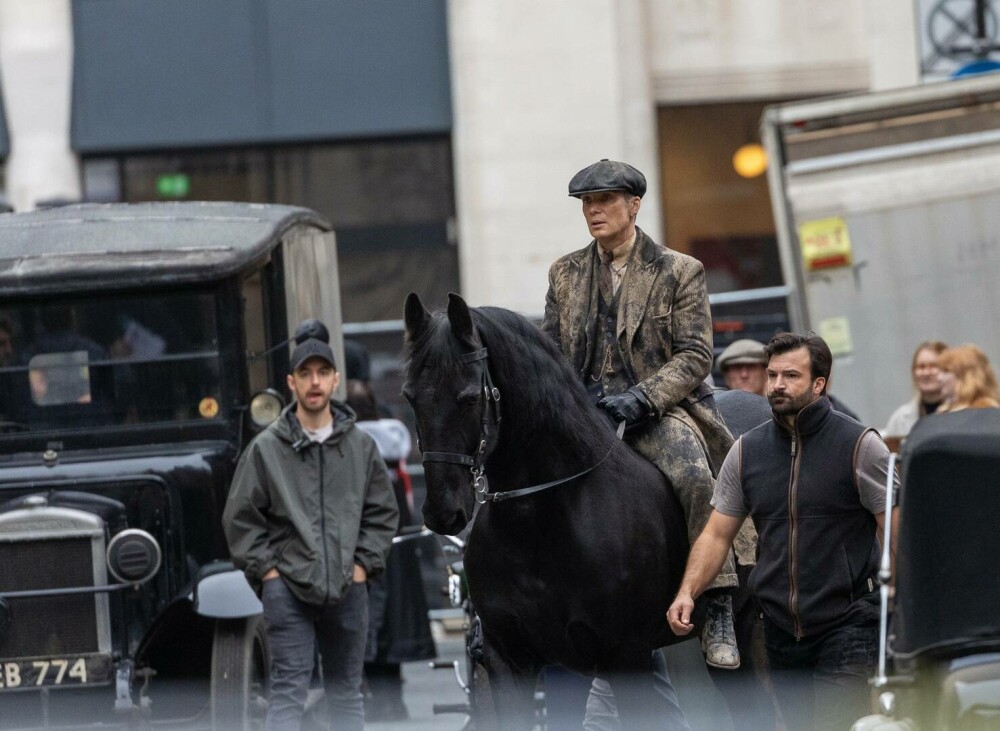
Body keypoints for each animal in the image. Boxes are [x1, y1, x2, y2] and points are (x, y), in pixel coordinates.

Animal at [402, 294, 700, 728]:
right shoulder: (512, 661)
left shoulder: (626, 658)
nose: (442, 511)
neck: (540, 523)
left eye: (470, 398)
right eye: (410, 396)